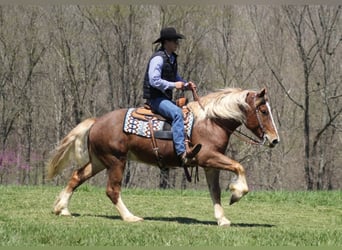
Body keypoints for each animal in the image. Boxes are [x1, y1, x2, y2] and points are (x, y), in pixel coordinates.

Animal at [46, 87, 280, 227]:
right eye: (263, 111)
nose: (274, 140)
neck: (211, 121)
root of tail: (96, 122)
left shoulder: (209, 165)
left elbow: (215, 192)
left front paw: (222, 219)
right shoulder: (208, 157)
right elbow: (239, 167)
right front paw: (236, 193)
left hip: (99, 161)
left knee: (77, 176)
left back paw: (62, 208)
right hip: (116, 161)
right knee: (112, 190)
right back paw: (130, 217)